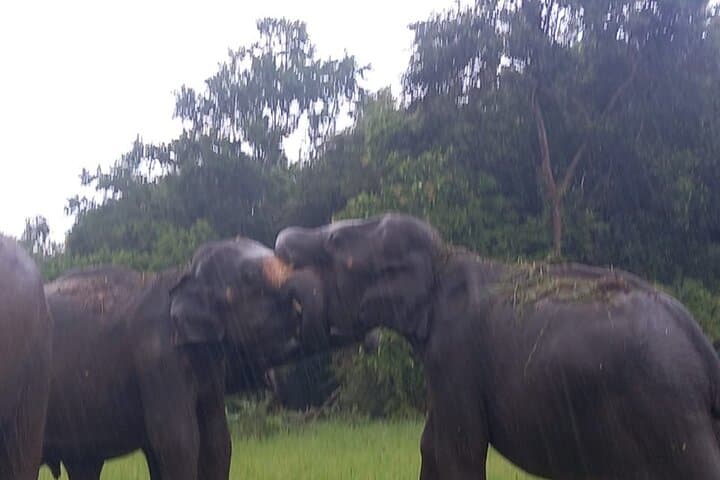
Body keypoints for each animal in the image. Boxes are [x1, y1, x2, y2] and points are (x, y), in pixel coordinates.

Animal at [41, 237, 314, 480]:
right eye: (250, 278)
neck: (184, 274)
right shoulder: (157, 359)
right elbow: (177, 440)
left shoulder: (210, 368)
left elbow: (217, 440)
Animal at [275, 213, 720, 479]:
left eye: (335, 241)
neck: (443, 259)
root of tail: (702, 348)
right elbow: (431, 446)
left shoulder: (455, 352)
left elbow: (460, 451)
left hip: (666, 408)